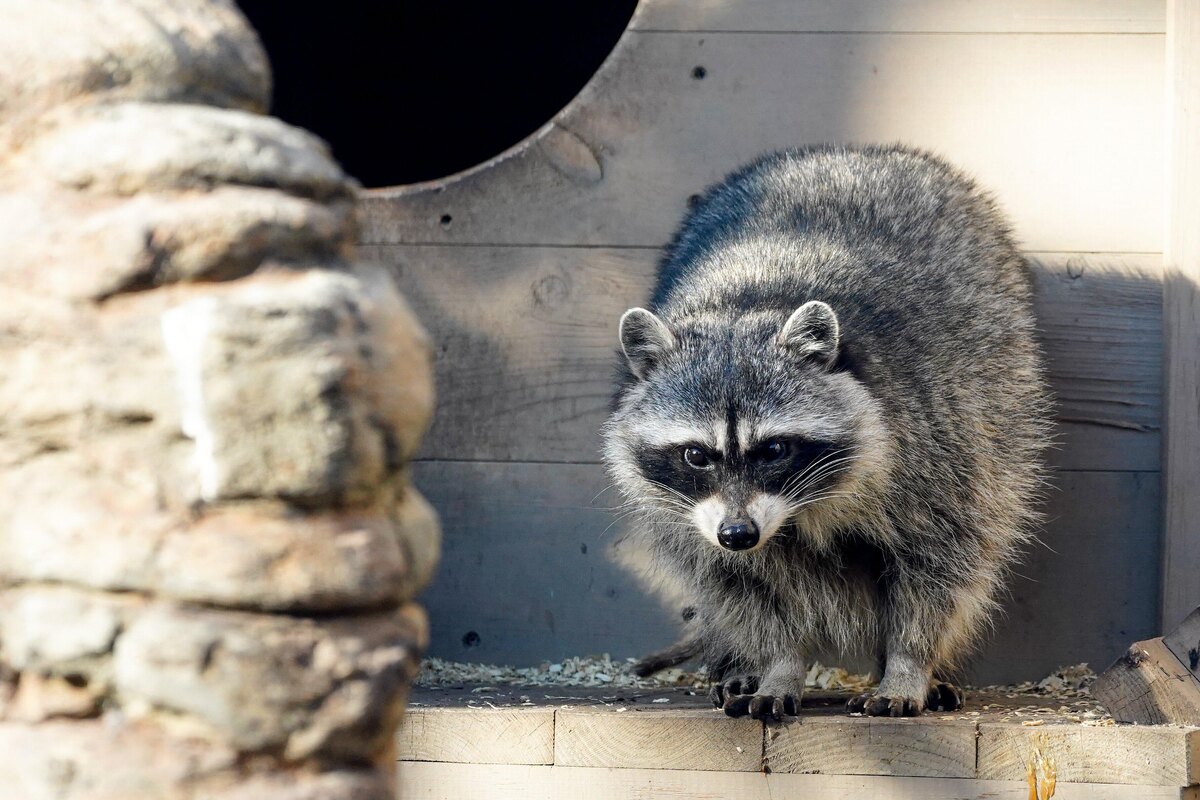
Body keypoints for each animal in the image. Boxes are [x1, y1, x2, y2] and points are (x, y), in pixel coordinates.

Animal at [604, 143, 1046, 719]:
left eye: (773, 449)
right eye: (696, 455)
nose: (738, 534)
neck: (746, 304)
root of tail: (848, 152)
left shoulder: (939, 446)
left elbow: (941, 564)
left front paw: (908, 666)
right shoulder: (693, 521)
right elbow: (741, 586)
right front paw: (778, 664)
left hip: (1003, 395)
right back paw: (737, 663)